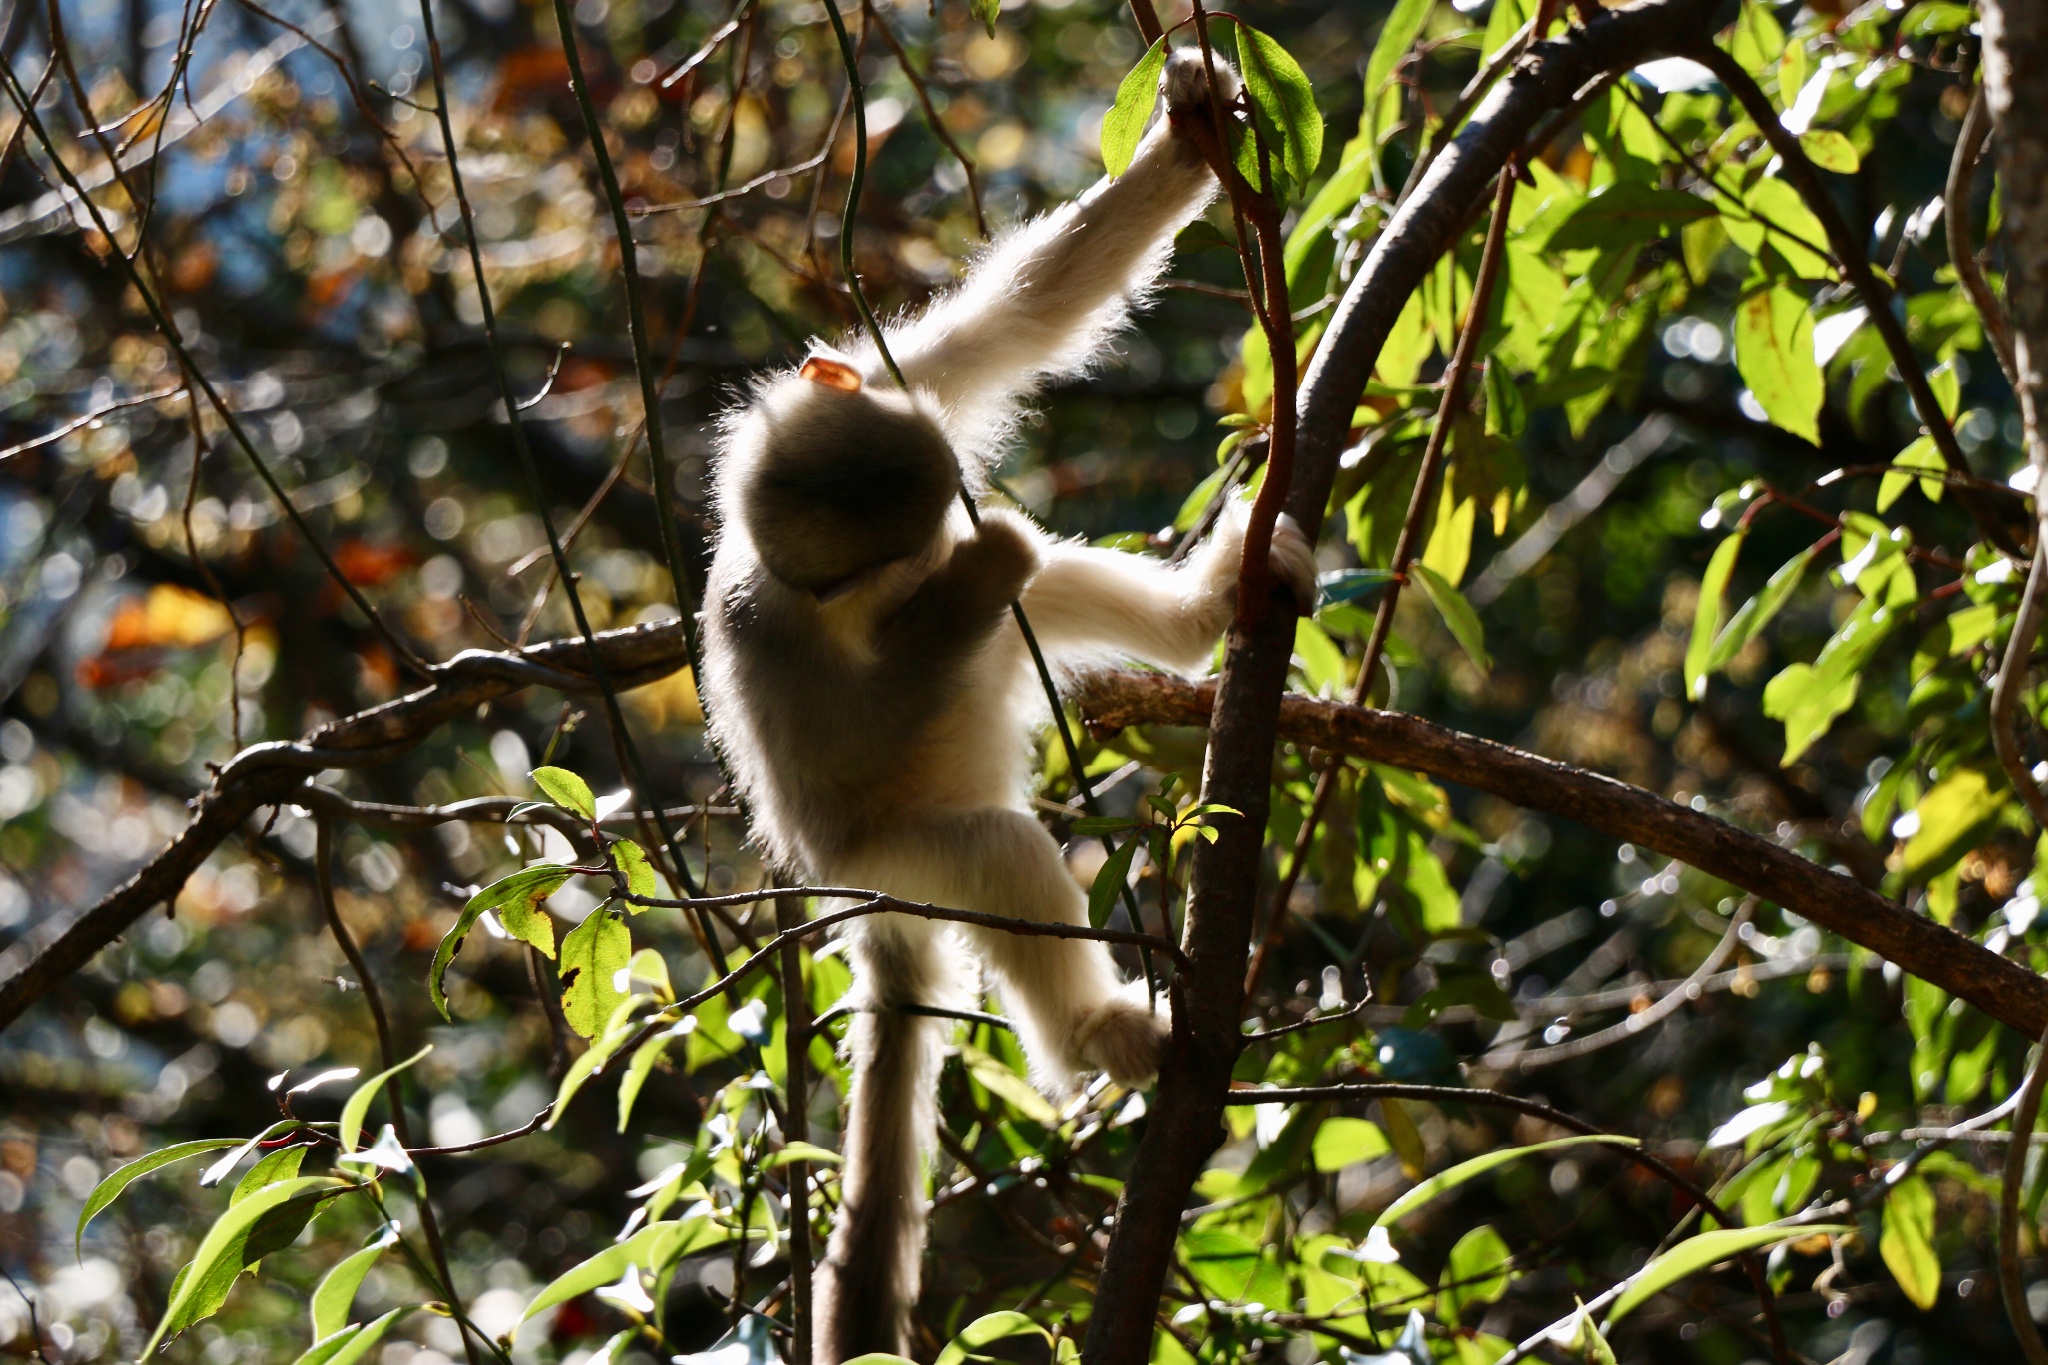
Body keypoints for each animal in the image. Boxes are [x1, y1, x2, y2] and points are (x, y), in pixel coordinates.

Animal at [696, 48, 1318, 1358]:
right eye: (880, 560)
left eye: (938, 493)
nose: (950, 545)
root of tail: (875, 921)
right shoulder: (759, 633)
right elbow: (820, 781)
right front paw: (981, 574)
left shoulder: (898, 376)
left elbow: (1031, 314)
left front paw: (1185, 130)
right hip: (895, 863)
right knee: (988, 847)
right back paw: (1095, 1031)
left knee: (1057, 593)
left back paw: (1204, 607)